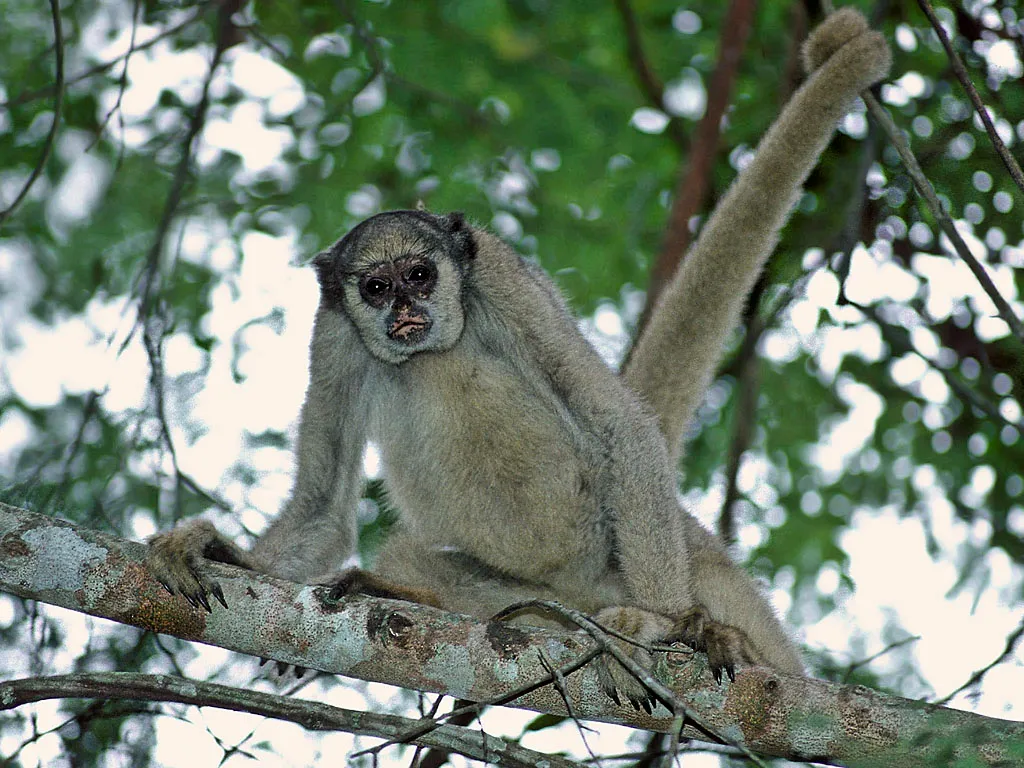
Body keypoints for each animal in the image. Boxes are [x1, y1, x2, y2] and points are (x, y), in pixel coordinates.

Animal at [147, 8, 891, 708]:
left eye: (420, 275)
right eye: (376, 287)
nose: (403, 310)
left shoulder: (500, 275)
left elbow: (621, 425)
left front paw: (665, 624)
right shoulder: (333, 330)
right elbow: (322, 509)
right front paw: (223, 551)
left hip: (637, 539)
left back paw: (703, 630)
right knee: (415, 535)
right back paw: (407, 593)